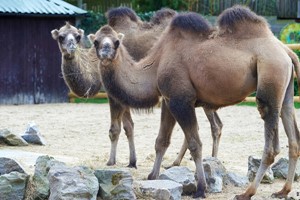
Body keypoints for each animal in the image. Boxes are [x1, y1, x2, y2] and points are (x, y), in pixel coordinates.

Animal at [89, 5, 300, 199]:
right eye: (97, 42)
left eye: (116, 42)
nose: (105, 53)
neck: (155, 64)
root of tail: (286, 52)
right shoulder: (169, 100)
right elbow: (161, 141)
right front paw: (152, 176)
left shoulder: (181, 100)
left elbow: (195, 144)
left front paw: (200, 189)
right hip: (286, 89)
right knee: (293, 136)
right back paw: (283, 190)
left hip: (270, 75)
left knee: (270, 142)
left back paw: (247, 192)